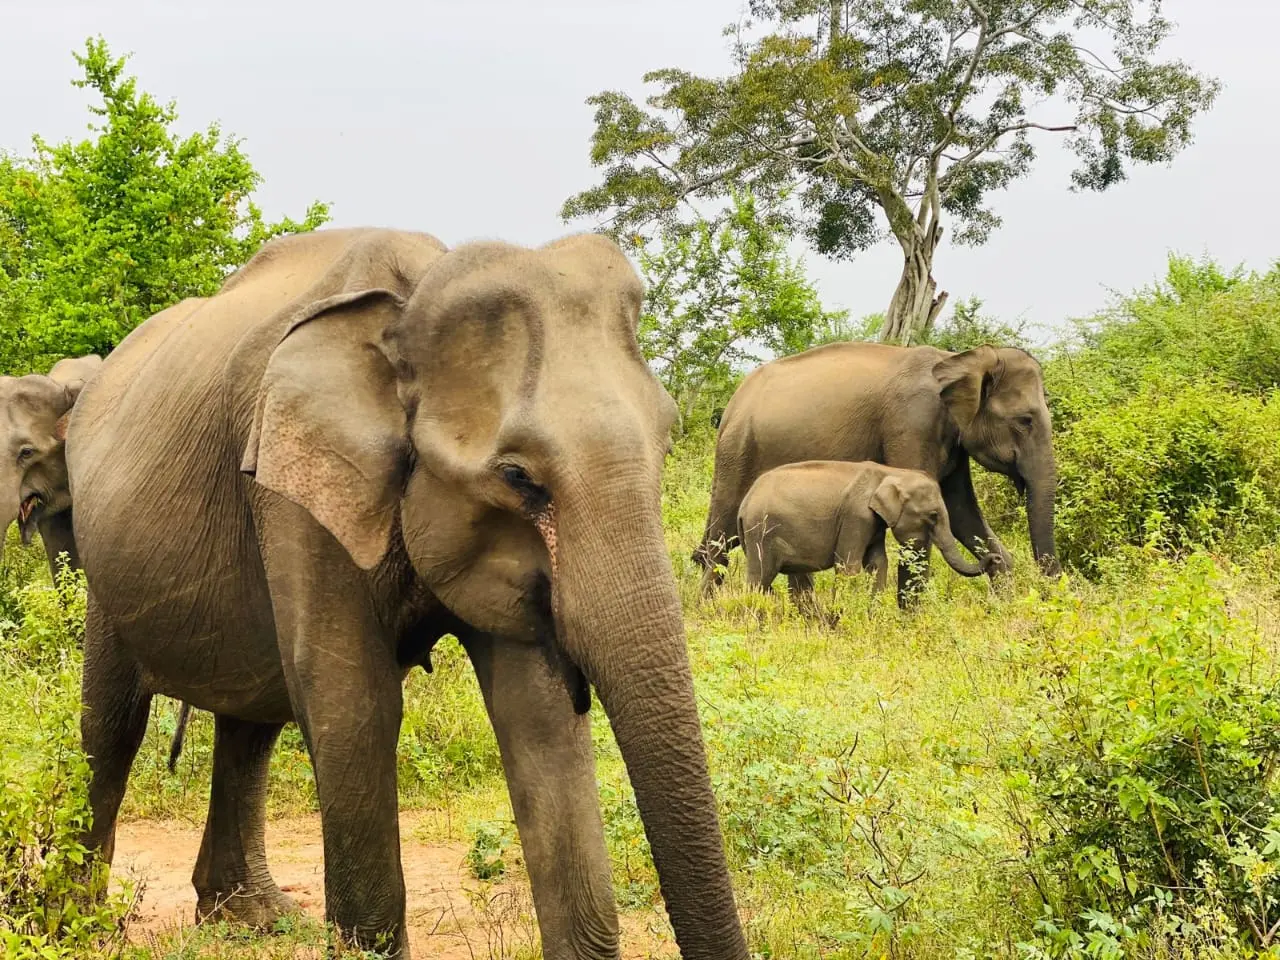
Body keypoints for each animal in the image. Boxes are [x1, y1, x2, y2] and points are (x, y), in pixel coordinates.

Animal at [67, 227, 747, 960]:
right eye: (517, 477)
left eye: (667, 442)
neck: (408, 306)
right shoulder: (298, 488)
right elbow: (352, 703)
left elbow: (534, 714)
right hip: (102, 561)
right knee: (113, 725)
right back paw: (77, 922)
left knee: (251, 721)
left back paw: (249, 919)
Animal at [737, 458, 993, 609]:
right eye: (933, 516)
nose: (994, 558)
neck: (889, 472)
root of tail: (744, 504)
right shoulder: (856, 516)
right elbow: (847, 566)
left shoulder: (874, 522)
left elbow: (878, 563)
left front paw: (873, 617)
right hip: (760, 532)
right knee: (759, 578)